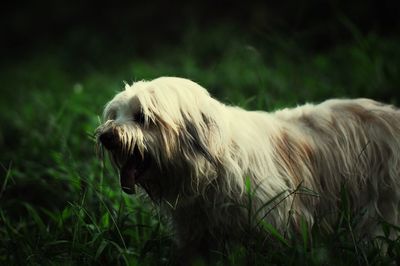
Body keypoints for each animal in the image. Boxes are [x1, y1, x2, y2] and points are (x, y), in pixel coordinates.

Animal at [96, 77, 400, 254]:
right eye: (114, 115)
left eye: (142, 117)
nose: (106, 136)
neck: (211, 166)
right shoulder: (197, 233)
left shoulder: (276, 220)